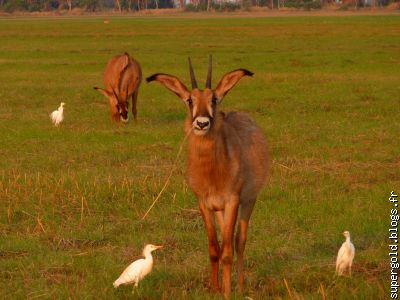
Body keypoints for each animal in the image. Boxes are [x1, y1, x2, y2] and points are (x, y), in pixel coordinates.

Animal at [147, 56, 268, 298]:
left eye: (214, 98)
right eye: (189, 100)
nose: (202, 123)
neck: (212, 172)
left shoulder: (232, 201)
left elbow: (228, 251)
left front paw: (228, 292)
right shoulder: (204, 203)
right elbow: (214, 248)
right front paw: (215, 288)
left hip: (248, 202)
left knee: (239, 241)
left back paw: (240, 285)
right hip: (220, 210)